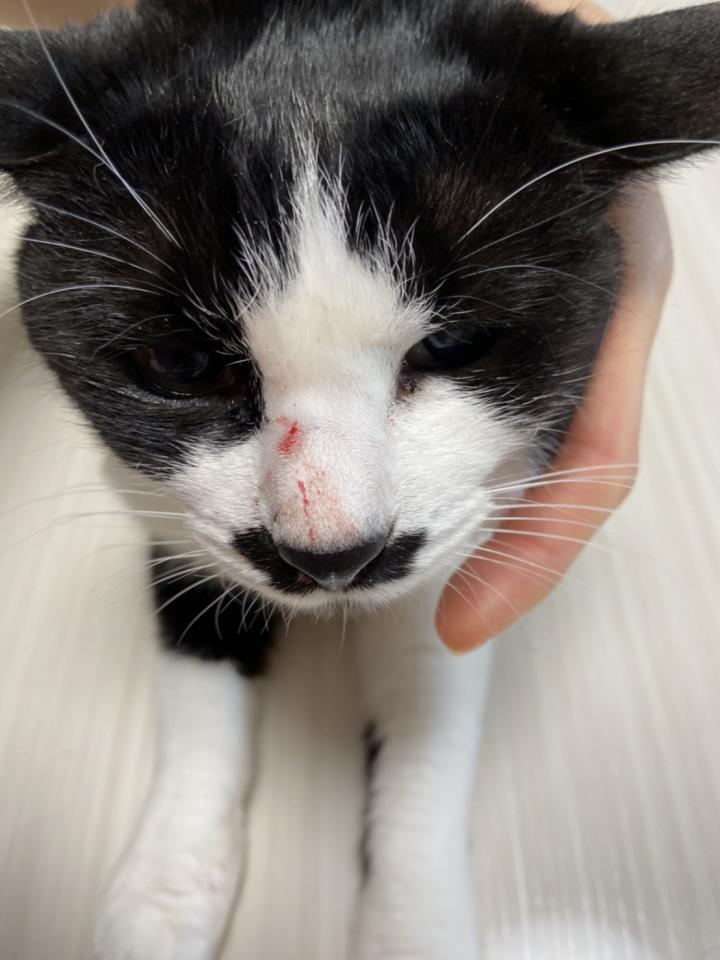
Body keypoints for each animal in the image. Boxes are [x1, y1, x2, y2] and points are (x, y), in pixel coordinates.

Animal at [1, 1, 719, 958]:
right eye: (182, 363)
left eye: (455, 344)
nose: (331, 556)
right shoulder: (165, 510)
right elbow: (197, 667)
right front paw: (167, 885)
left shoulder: (478, 520)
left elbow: (427, 692)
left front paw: (410, 919)